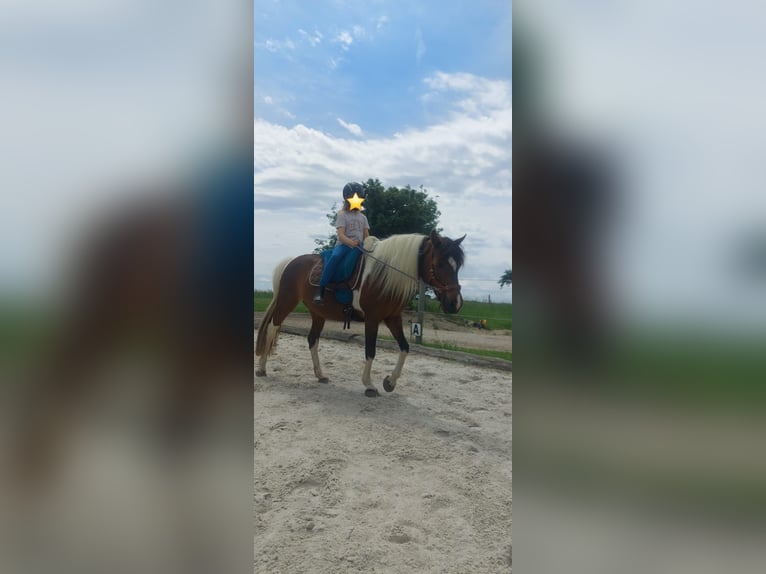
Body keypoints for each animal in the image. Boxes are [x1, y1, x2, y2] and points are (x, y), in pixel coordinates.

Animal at [256, 230, 466, 397]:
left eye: (458, 266)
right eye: (439, 263)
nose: (455, 303)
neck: (383, 275)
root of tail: (291, 261)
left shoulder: (393, 317)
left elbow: (405, 348)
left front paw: (390, 382)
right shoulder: (372, 318)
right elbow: (370, 350)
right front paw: (369, 385)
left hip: (318, 313)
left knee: (312, 339)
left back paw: (320, 375)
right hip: (286, 302)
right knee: (272, 328)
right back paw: (262, 368)